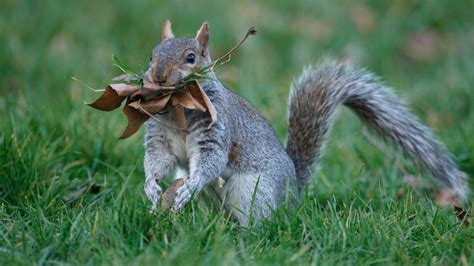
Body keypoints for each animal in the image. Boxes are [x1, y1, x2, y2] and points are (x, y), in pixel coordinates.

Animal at [143, 19, 468, 225]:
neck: (178, 109)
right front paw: (151, 187)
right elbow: (159, 159)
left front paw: (191, 185)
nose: (158, 76)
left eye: (191, 57)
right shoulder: (160, 136)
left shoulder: (217, 127)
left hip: (255, 191)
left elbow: (211, 160)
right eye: (151, 55)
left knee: (257, 219)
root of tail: (292, 195)